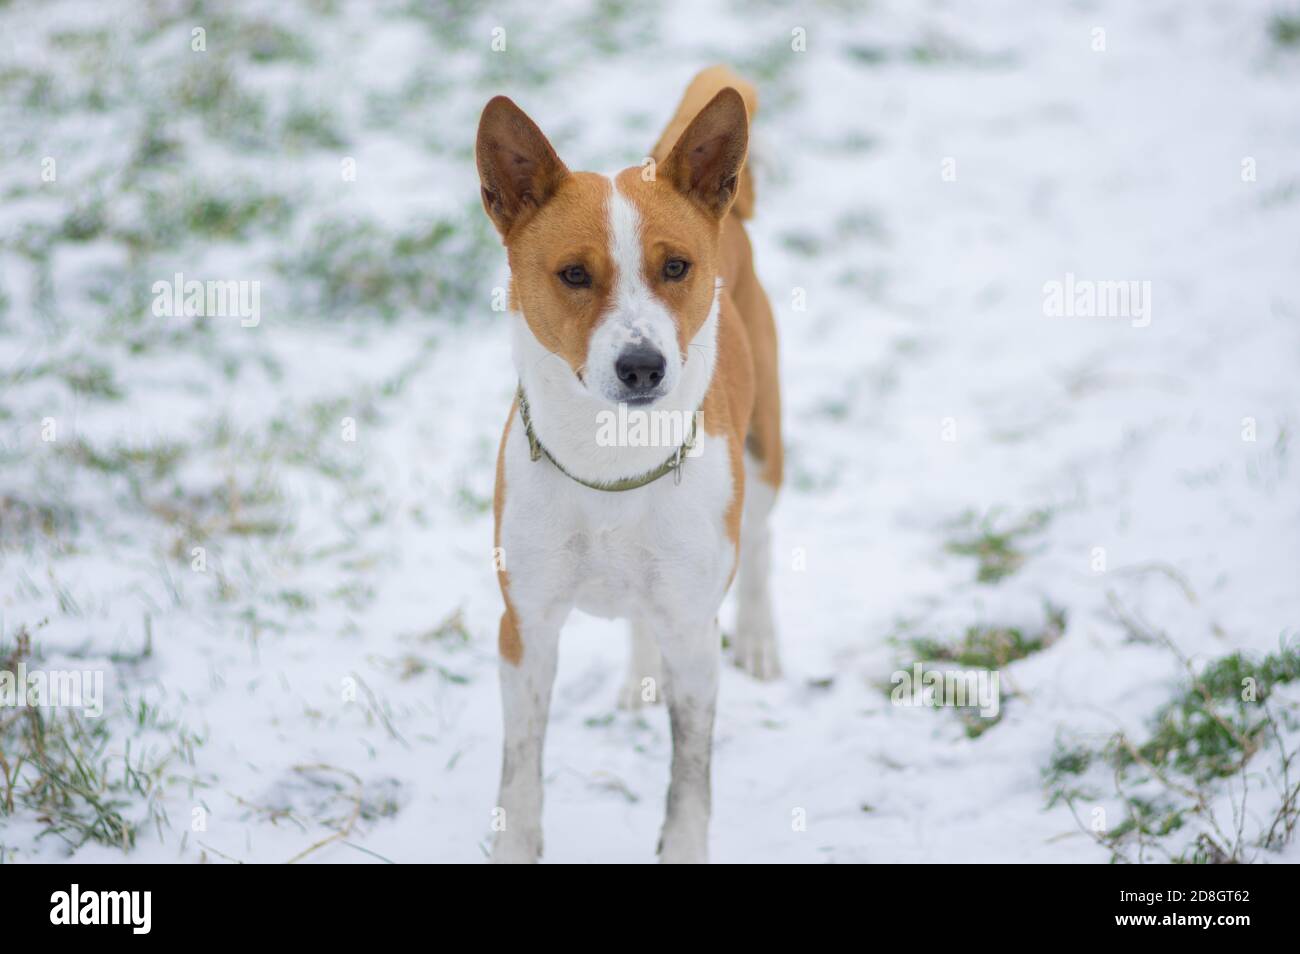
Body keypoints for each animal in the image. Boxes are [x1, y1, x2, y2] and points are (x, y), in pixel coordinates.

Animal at [478, 67, 780, 868]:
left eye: (676, 267)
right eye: (574, 275)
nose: (642, 366)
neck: (613, 462)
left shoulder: (696, 634)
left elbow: (690, 774)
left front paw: (682, 846)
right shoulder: (526, 626)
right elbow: (519, 767)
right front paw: (515, 846)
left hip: (766, 451)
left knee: (761, 541)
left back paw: (761, 640)